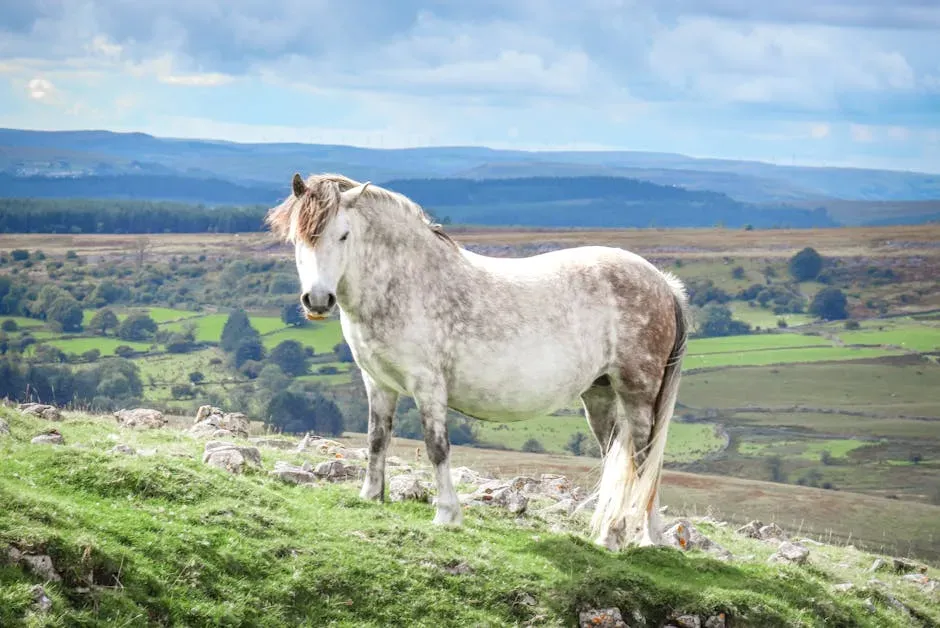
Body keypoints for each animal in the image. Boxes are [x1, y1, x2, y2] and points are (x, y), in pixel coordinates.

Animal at [265, 172, 690, 550]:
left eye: (344, 235)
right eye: (298, 238)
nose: (318, 301)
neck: (405, 283)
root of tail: (664, 284)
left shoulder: (428, 387)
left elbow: (437, 448)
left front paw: (446, 515)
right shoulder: (379, 384)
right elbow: (376, 439)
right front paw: (370, 497)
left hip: (637, 392)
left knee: (641, 459)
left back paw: (627, 537)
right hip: (599, 395)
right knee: (624, 459)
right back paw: (636, 537)